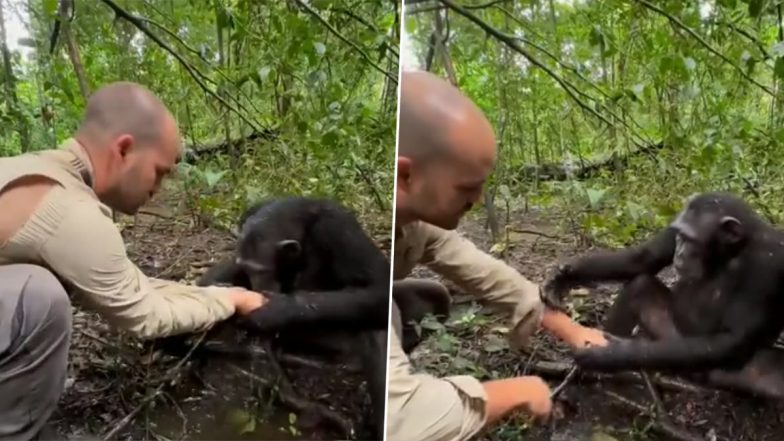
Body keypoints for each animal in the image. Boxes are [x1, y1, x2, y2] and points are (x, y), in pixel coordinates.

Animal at [544, 191, 784, 398]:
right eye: (679, 236)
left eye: (691, 240)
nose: (680, 251)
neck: (733, 249)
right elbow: (643, 258)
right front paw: (562, 278)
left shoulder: (768, 262)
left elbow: (732, 338)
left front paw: (609, 355)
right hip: (669, 336)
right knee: (640, 286)